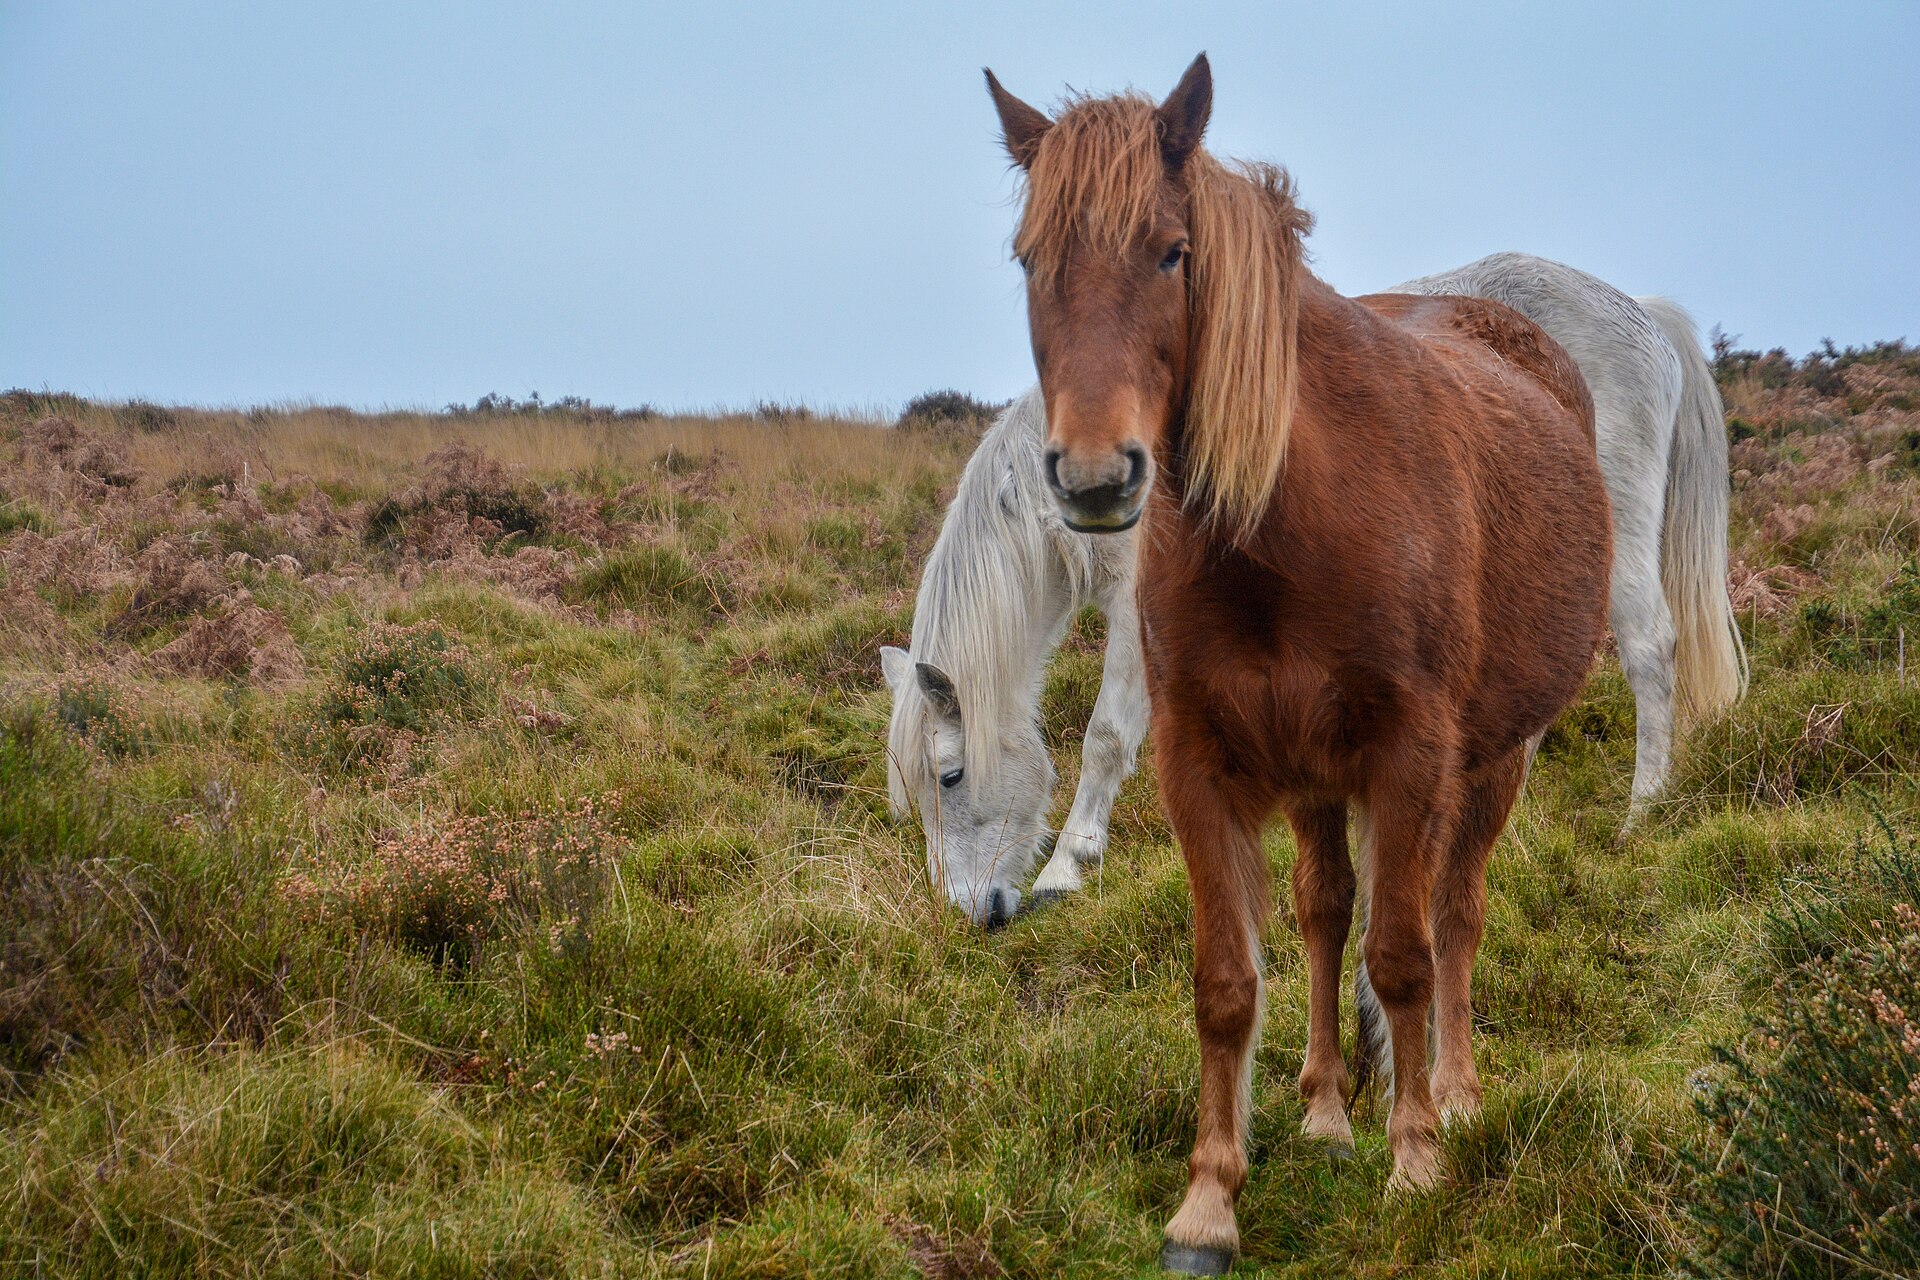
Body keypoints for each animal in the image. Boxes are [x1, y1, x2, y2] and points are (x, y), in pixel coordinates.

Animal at [880, 256, 1744, 935]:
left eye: (950, 776)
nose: (970, 916)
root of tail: (1644, 317)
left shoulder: (1138, 607)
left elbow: (1106, 736)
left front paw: (1068, 866)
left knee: (1648, 648)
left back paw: (1640, 815)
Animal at [986, 54, 1616, 1274]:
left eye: (1172, 251)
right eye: (1030, 260)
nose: (1094, 476)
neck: (1286, 525)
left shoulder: (1412, 757)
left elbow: (1406, 953)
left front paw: (1416, 1160)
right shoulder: (1200, 761)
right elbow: (1231, 980)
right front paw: (1209, 1200)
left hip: (1496, 757)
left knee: (1455, 912)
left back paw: (1456, 1093)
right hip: (1321, 776)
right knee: (1326, 912)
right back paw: (1327, 1107)